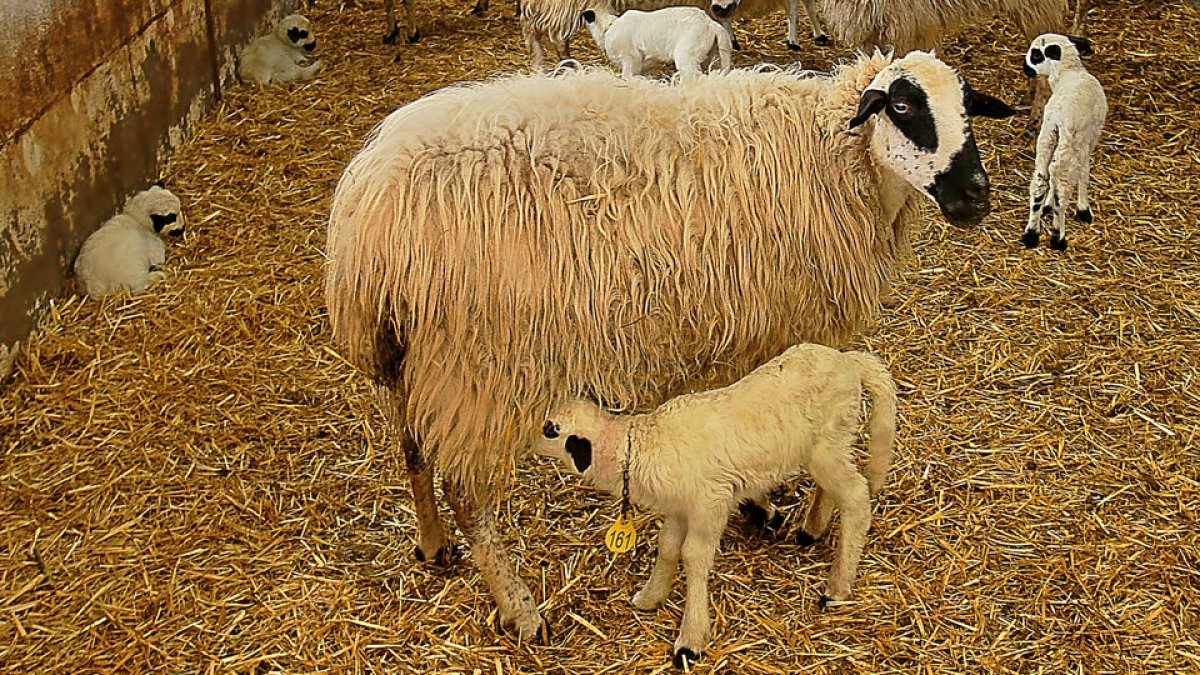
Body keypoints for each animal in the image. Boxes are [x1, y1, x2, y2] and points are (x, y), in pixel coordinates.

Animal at [536, 343, 897, 667]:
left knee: (856, 495)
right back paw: (812, 529)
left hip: (828, 444)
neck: (639, 447)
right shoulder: (680, 508)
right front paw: (650, 596)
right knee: (833, 488)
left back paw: (837, 587)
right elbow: (668, 547)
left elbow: (693, 557)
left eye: (549, 429)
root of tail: (850, 361)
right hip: (824, 447)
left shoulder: (710, 502)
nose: (524, 440)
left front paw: (690, 639)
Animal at [1020, 33, 1105, 251]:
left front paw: (1046, 207)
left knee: (1041, 178)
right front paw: (1083, 209)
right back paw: (1058, 237)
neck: (1069, 72)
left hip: (1047, 137)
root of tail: (1058, 115)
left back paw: (1031, 233)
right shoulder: (1089, 139)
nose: (1025, 68)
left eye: (1035, 55)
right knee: (1062, 186)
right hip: (1068, 143)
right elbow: (1084, 173)